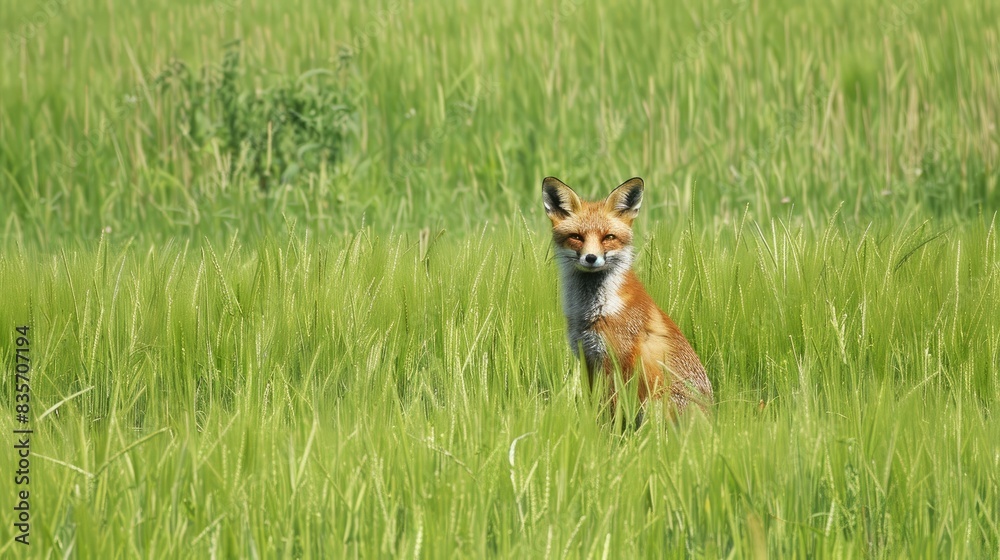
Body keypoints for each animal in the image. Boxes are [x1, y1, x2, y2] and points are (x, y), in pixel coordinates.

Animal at [542, 176, 713, 422]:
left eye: (608, 238)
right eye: (576, 237)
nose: (591, 258)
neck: (593, 311)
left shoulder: (614, 363)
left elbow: (611, 411)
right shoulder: (587, 359)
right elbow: (593, 405)